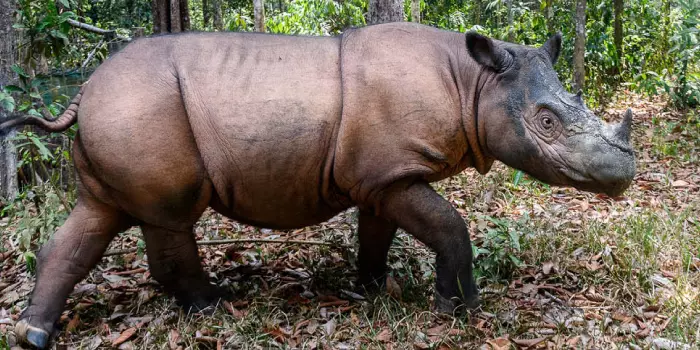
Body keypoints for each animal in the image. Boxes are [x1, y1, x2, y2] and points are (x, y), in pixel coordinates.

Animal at [1, 23, 636, 348]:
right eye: (546, 122)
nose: (623, 176)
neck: (473, 81)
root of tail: (81, 90)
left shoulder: (383, 174)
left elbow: (378, 234)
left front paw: (371, 291)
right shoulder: (392, 172)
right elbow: (449, 224)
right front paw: (457, 309)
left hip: (118, 114)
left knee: (103, 213)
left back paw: (34, 332)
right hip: (139, 110)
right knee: (170, 214)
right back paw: (212, 306)